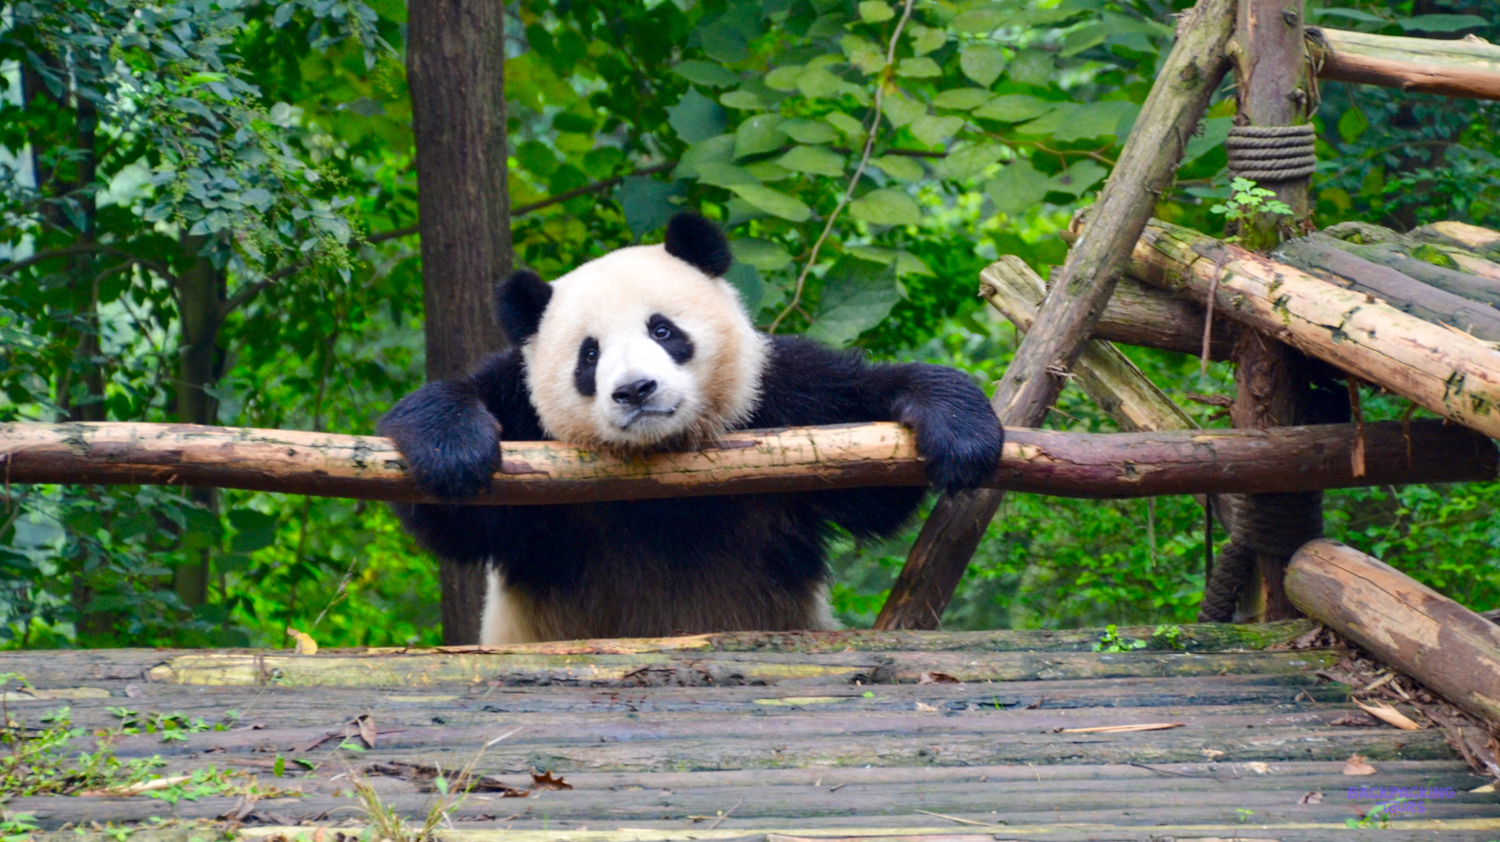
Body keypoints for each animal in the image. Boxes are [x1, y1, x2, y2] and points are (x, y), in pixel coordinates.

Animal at [378, 212, 1004, 644]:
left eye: (662, 330)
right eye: (588, 355)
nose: (635, 390)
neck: (662, 458)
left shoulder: (780, 399)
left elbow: (870, 468)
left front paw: (958, 427)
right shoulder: (525, 426)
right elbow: (456, 516)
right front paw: (453, 448)